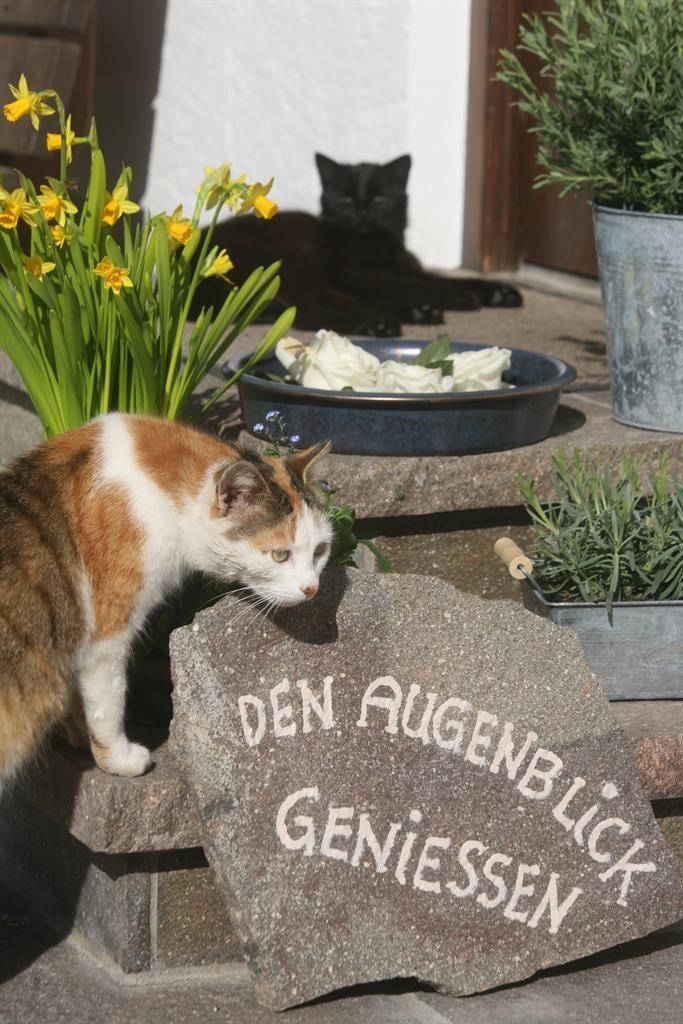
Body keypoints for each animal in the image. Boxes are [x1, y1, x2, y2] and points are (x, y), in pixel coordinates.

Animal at [0, 415, 331, 782]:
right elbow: (107, 703)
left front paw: (77, 733)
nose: (312, 588)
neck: (165, 485)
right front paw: (118, 758)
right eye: (279, 555)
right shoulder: (106, 636)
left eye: (319, 551)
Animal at [197, 153, 524, 335]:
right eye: (346, 199)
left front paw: (498, 291)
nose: (364, 212)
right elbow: (416, 284)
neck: (383, 243)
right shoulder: (356, 273)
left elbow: (449, 279)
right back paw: (379, 323)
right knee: (307, 310)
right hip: (296, 260)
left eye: (380, 199)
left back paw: (415, 312)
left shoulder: (406, 268)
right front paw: (458, 298)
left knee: (339, 300)